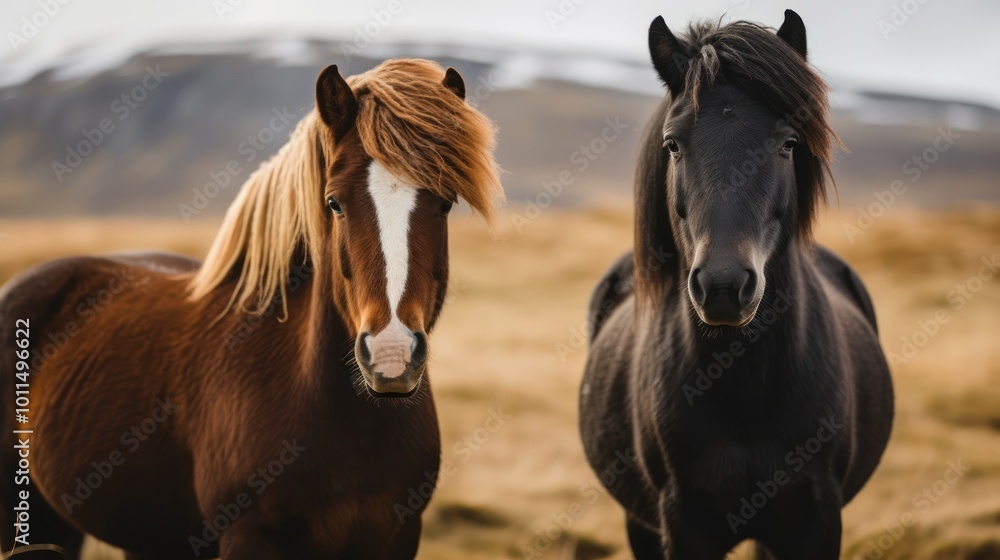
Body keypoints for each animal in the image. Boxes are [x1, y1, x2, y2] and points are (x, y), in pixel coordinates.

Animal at [579, 11, 893, 559]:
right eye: (673, 145)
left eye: (788, 143)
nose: (723, 285)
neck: (747, 392)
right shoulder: (681, 523)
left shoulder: (816, 521)